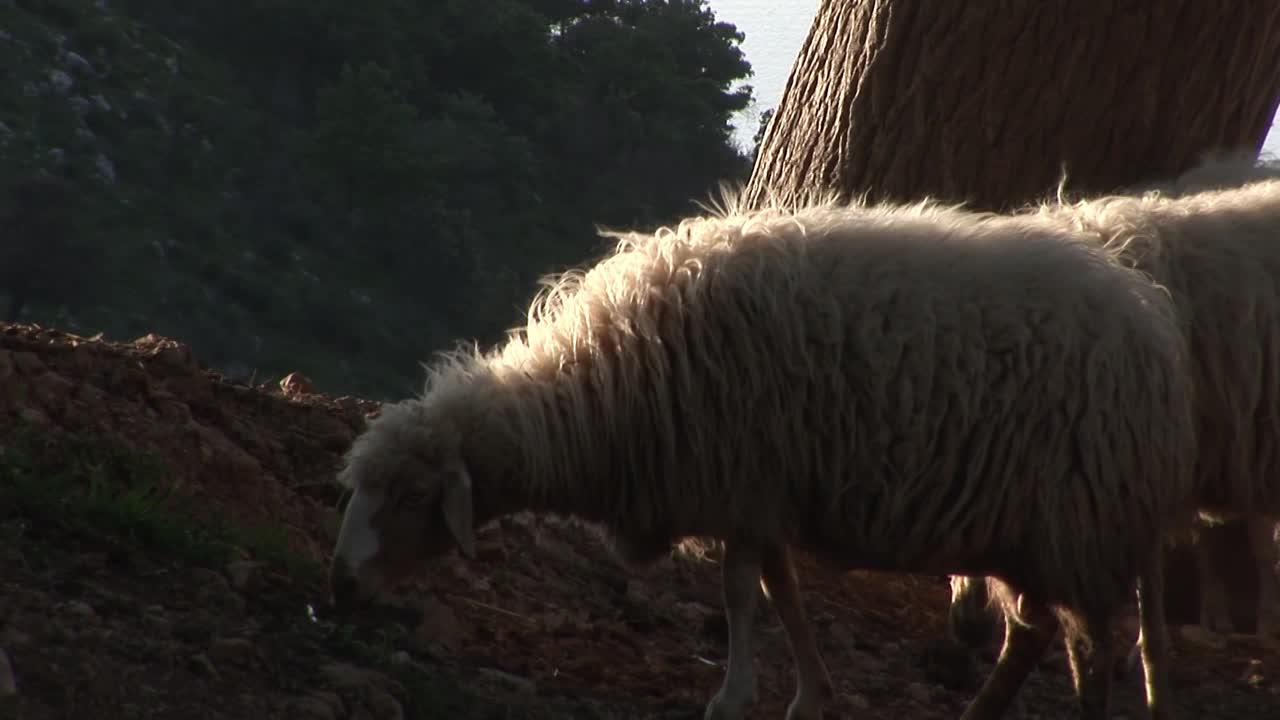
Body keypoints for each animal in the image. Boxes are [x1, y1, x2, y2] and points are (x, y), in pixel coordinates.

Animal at [325, 194, 1192, 717]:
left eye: (411, 497)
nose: (337, 588)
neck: (605, 390)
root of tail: (1151, 324)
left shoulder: (741, 478)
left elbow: (743, 594)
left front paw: (733, 695)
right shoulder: (767, 491)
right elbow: (784, 592)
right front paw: (812, 694)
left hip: (1077, 515)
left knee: (1091, 641)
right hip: (1036, 528)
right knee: (1039, 633)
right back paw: (983, 710)